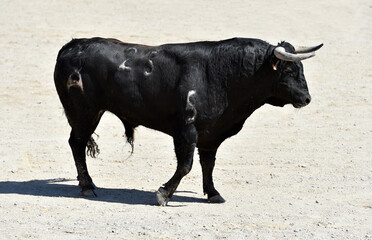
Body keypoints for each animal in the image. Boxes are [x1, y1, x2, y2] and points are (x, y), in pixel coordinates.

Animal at [53, 36, 322, 205]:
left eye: (301, 70)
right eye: (289, 71)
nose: (307, 98)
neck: (223, 74)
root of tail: (71, 46)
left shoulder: (211, 134)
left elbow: (208, 164)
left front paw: (213, 193)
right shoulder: (185, 131)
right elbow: (186, 165)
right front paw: (164, 194)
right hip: (84, 113)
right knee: (77, 144)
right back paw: (87, 186)